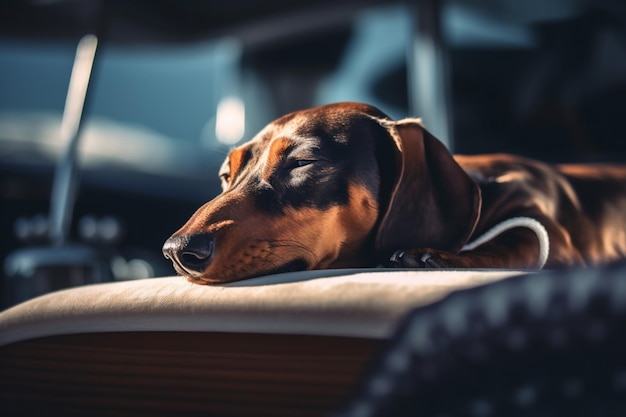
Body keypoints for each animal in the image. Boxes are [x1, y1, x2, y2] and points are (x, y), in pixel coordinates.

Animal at [162, 101, 624, 282]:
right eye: (226, 175)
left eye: (301, 163)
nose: (177, 251)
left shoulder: (554, 234)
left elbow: (522, 241)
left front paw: (435, 256)